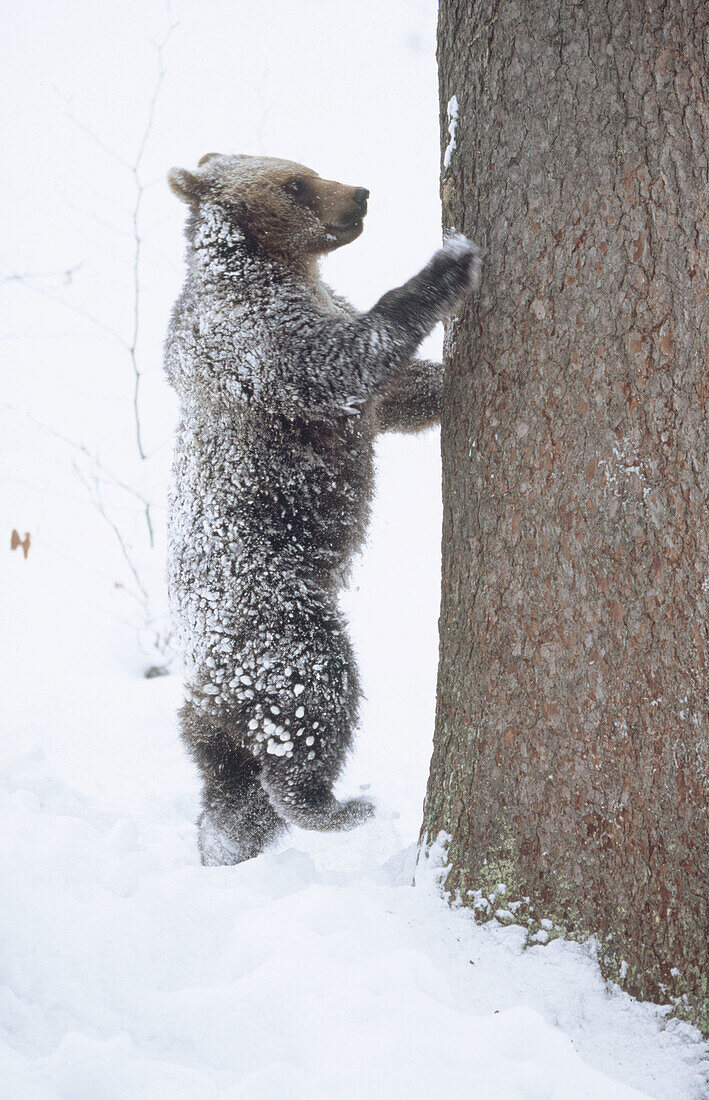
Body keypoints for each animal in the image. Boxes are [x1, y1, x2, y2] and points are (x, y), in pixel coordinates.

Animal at [162, 155, 479, 862]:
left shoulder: (317, 313)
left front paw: (441, 378)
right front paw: (448, 265)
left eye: (305, 167)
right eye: (294, 182)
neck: (276, 268)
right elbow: (345, 364)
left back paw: (225, 840)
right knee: (314, 701)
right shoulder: (259, 342)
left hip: (213, 707)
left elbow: (397, 393)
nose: (360, 194)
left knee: (224, 772)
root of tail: (212, 680)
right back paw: (334, 805)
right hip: (278, 621)